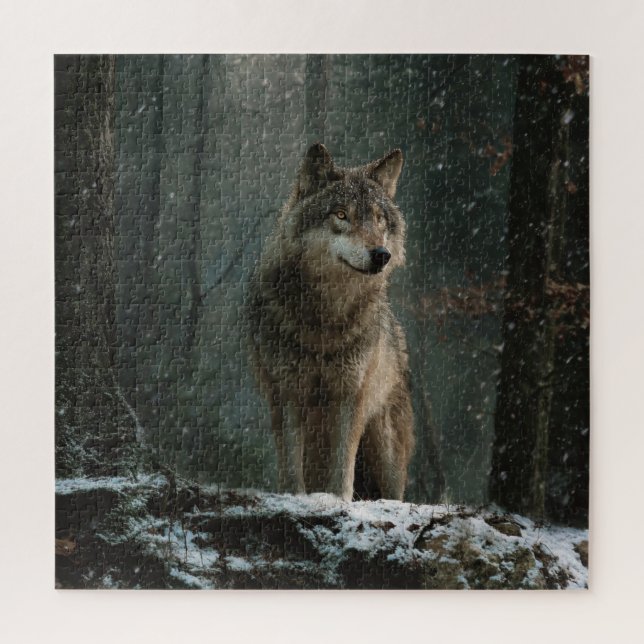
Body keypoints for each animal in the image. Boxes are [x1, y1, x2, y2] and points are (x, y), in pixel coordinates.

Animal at [247, 143, 414, 502]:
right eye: (340, 215)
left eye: (379, 219)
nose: (381, 254)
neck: (325, 321)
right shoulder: (286, 392)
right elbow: (291, 466)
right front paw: (297, 499)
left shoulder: (349, 396)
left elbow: (341, 468)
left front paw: (338, 501)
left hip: (386, 447)